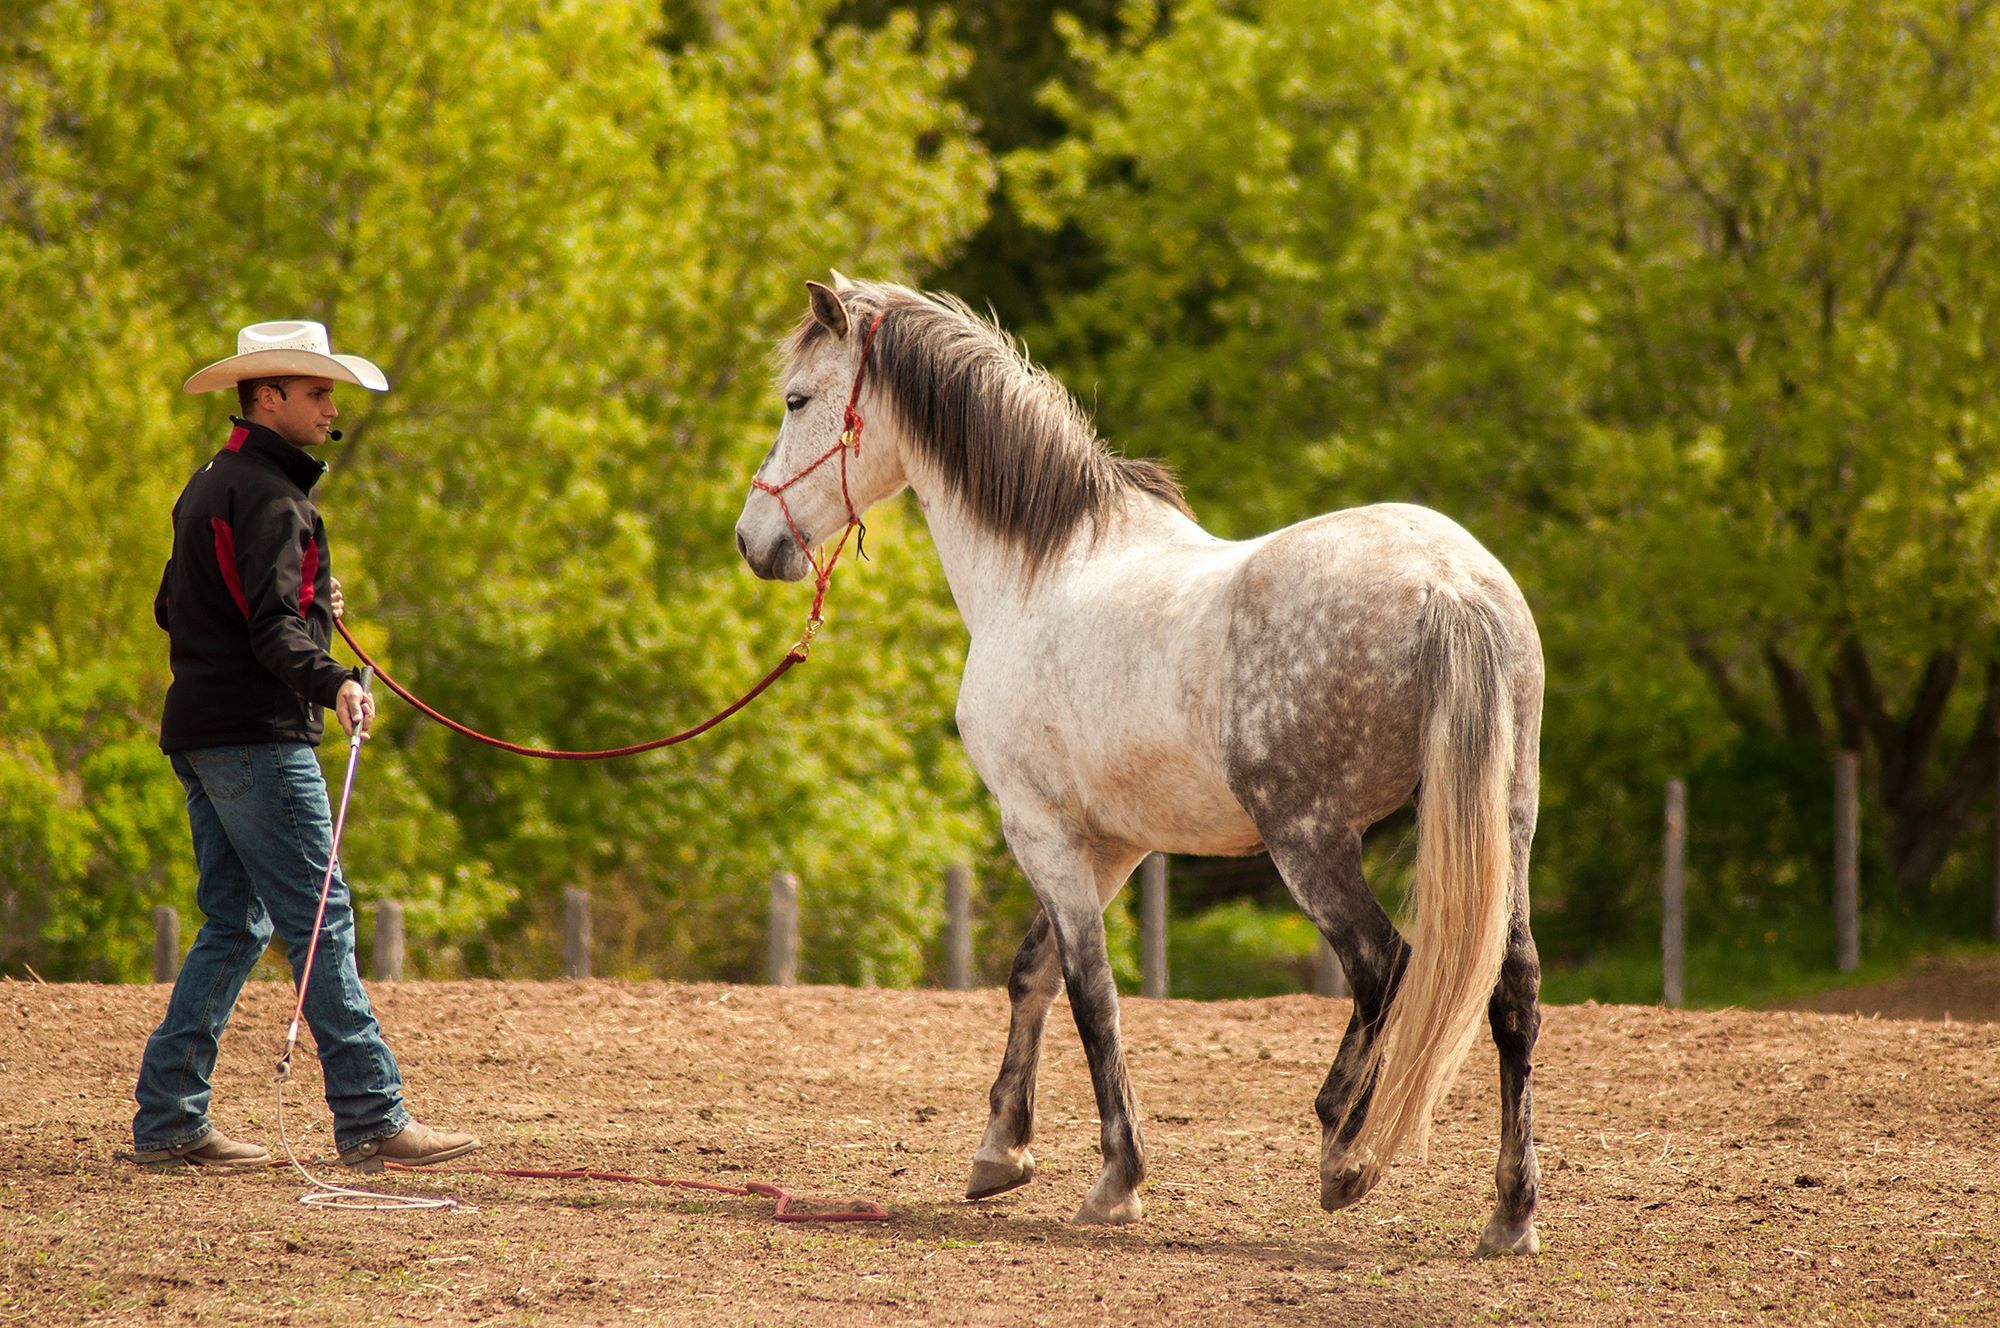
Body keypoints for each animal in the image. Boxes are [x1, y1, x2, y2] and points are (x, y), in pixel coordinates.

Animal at [733, 275, 1546, 1256]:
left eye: (796, 400)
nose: (752, 539)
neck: (1037, 571)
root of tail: (1448, 583)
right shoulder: (1113, 844)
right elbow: (1034, 972)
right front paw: (1001, 1151)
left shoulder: (1039, 830)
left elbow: (1092, 993)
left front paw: (1116, 1180)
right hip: (1506, 823)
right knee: (1513, 993)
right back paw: (1509, 1213)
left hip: (1309, 841)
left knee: (1385, 970)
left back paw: (1345, 1152)